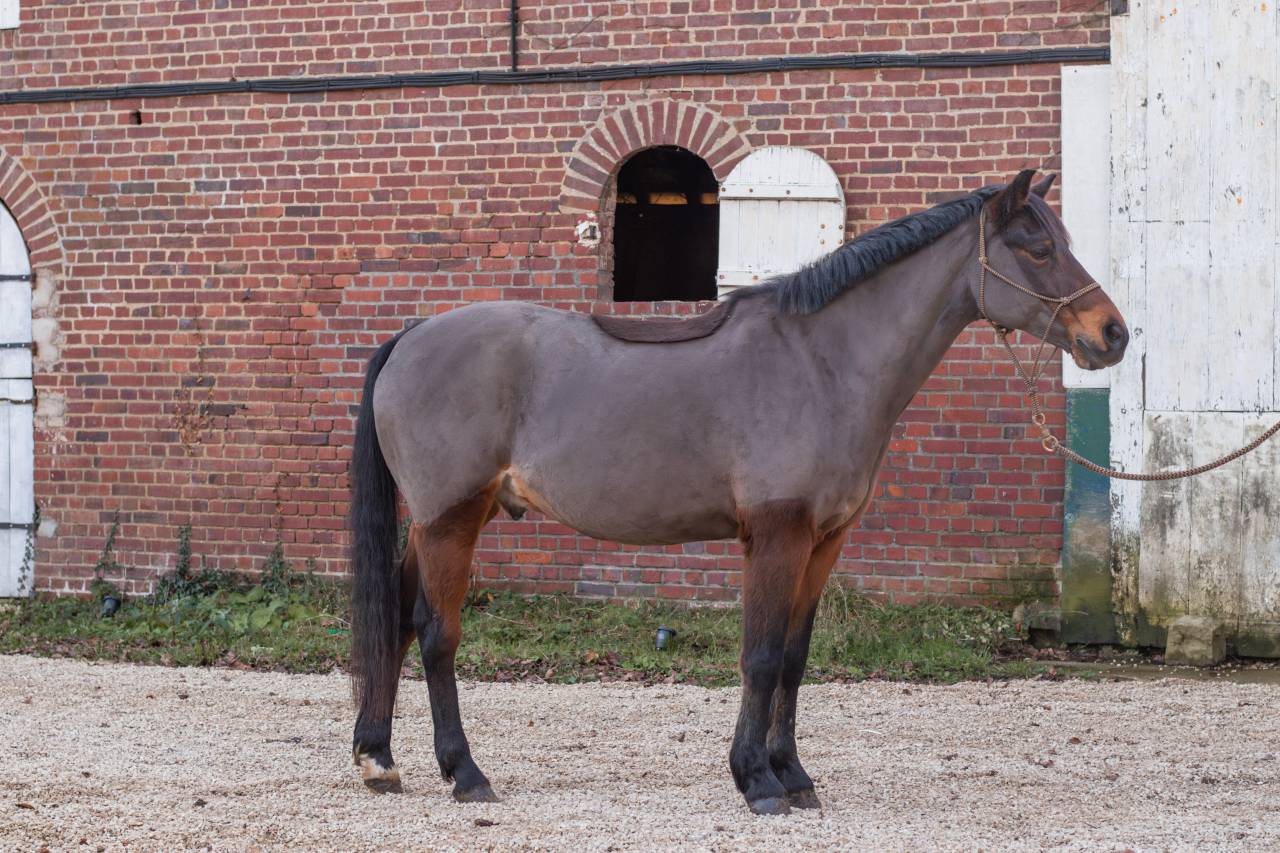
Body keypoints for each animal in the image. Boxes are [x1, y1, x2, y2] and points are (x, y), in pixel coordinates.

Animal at [348, 169, 1129, 815]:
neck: (822, 363)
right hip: (449, 520)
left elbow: (792, 658)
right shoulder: (776, 536)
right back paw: (465, 772)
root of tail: (413, 334)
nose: (1112, 333)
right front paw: (757, 780)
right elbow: (758, 656)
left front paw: (794, 774)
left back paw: (378, 758)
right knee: (437, 633)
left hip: (444, 521)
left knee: (396, 617)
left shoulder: (824, 541)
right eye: (1035, 248)